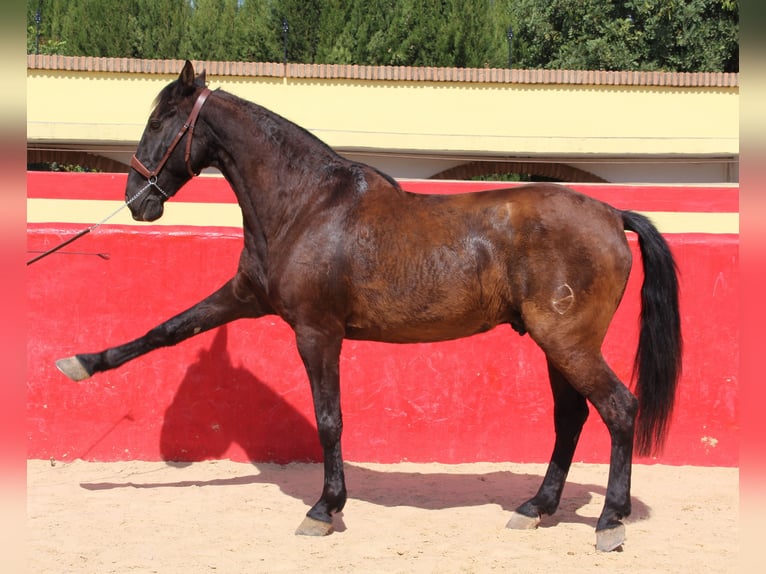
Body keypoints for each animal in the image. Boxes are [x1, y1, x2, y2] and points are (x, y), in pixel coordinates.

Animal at [56, 60, 681, 552]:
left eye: (158, 122)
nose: (137, 201)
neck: (307, 205)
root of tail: (611, 214)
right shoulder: (243, 297)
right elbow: (165, 330)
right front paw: (81, 364)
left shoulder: (317, 332)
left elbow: (329, 419)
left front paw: (325, 509)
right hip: (556, 345)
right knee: (572, 417)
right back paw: (535, 508)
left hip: (568, 342)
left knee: (619, 409)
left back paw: (609, 521)